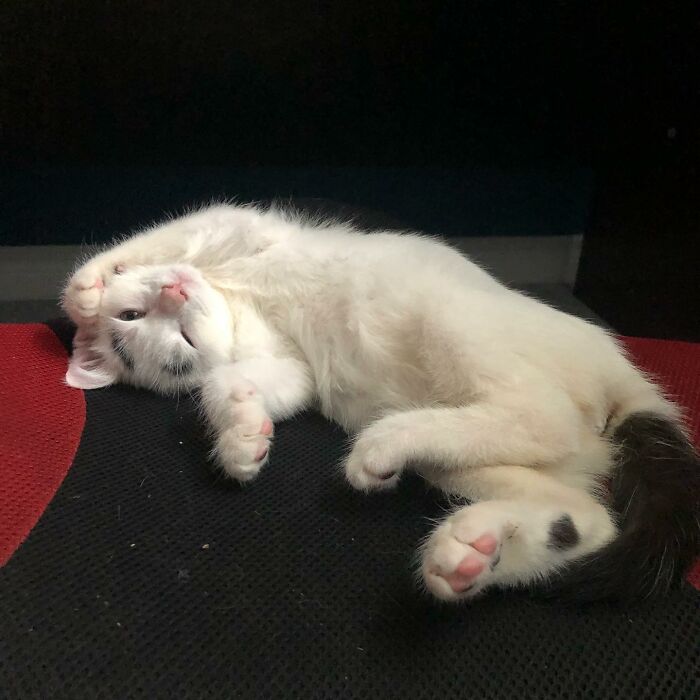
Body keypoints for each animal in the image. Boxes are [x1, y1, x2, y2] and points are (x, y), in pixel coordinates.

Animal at [61, 202, 700, 600]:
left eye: (132, 314)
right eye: (178, 346)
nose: (174, 289)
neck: (238, 299)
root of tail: (623, 372)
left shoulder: (242, 229)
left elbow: (174, 231)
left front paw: (87, 287)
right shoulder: (290, 367)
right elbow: (242, 385)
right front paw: (242, 435)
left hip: (449, 315)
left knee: (546, 414)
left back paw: (387, 446)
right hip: (478, 462)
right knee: (587, 513)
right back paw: (472, 553)